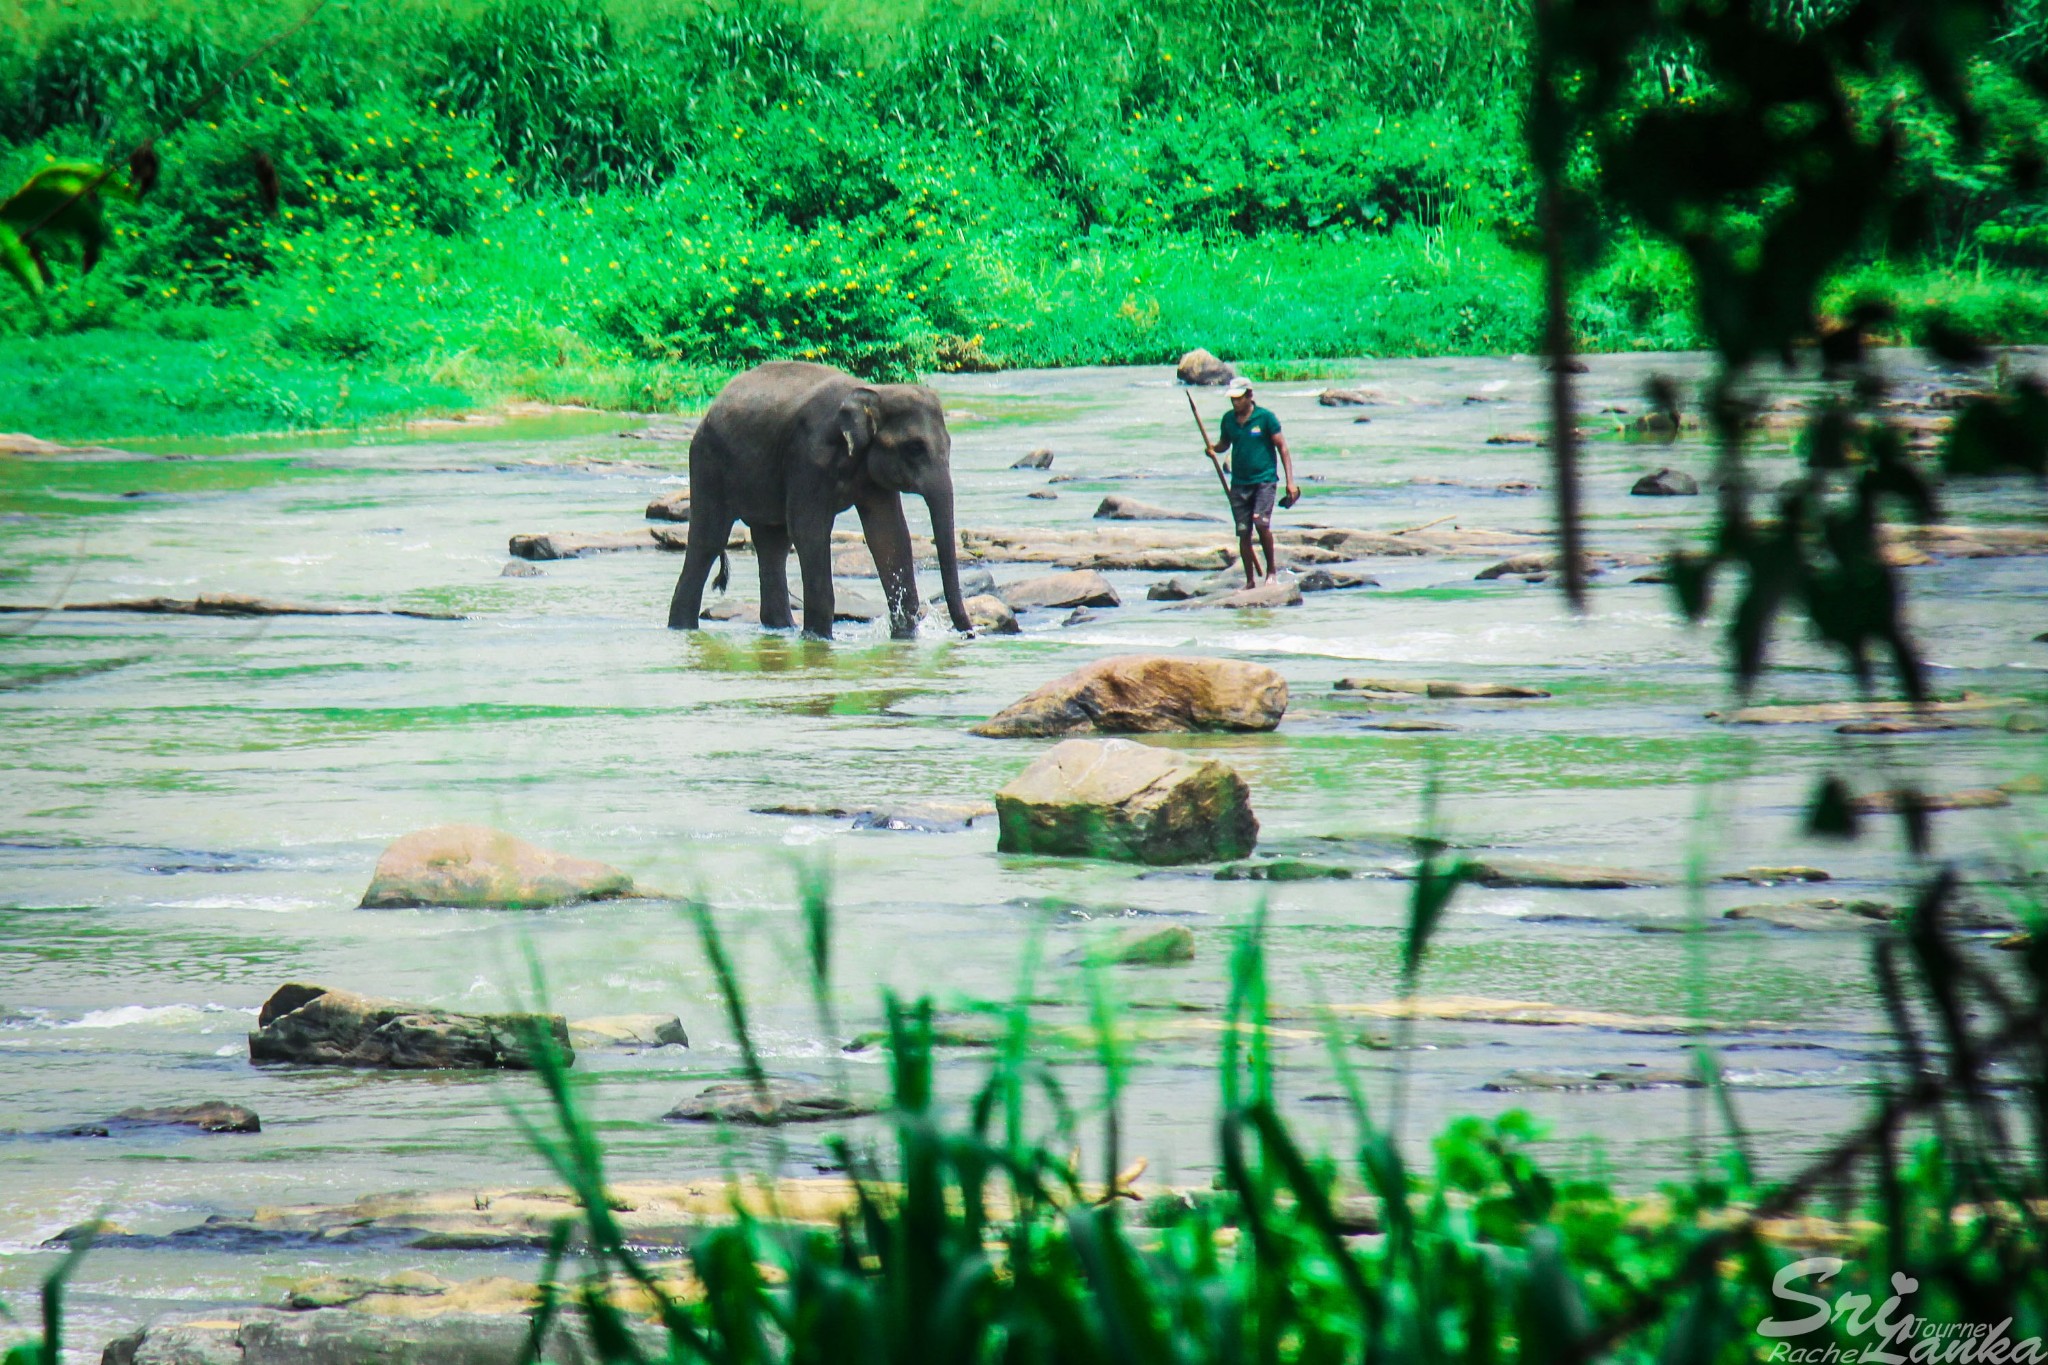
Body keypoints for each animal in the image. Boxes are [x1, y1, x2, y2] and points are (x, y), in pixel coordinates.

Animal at [659, 360, 970, 642]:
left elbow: (888, 534)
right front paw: (820, 639)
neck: (874, 392)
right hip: (707, 462)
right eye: (914, 448)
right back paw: (683, 628)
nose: (969, 635)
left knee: (773, 544)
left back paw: (781, 628)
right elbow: (810, 530)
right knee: (709, 540)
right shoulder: (808, 455)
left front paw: (905, 637)